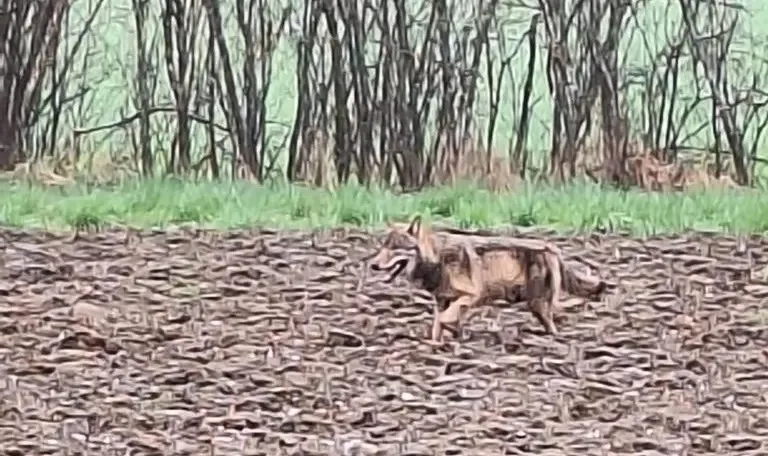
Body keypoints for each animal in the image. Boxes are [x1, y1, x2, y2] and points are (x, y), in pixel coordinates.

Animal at [369, 215, 606, 344]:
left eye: (395, 248)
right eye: (383, 247)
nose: (373, 265)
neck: (437, 259)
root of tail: (551, 246)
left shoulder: (470, 296)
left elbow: (446, 319)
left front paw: (453, 331)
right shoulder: (442, 301)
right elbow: (437, 326)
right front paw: (437, 344)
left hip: (539, 303)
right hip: (536, 306)